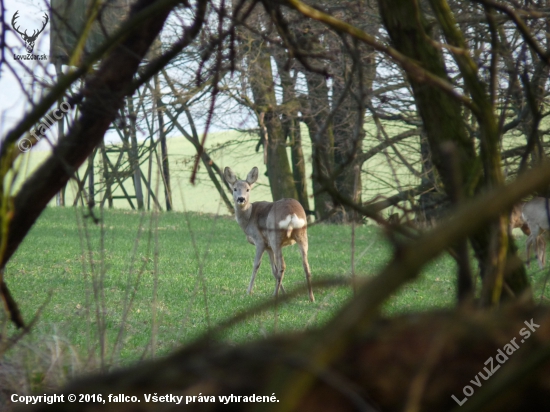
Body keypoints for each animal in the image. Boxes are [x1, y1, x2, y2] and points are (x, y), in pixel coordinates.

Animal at [226, 166, 316, 300]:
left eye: (248, 189)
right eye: (234, 189)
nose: (241, 199)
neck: (248, 218)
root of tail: (291, 214)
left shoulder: (260, 241)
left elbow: (256, 264)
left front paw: (248, 291)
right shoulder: (268, 246)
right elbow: (273, 270)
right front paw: (284, 292)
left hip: (275, 237)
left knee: (282, 266)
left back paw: (275, 295)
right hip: (302, 235)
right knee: (306, 266)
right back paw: (311, 298)